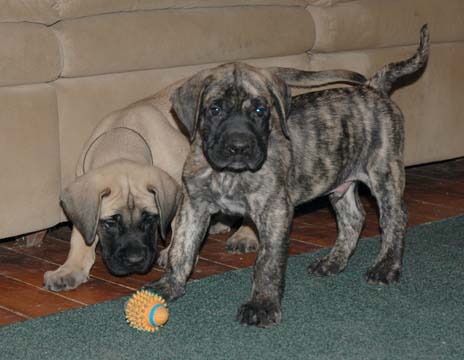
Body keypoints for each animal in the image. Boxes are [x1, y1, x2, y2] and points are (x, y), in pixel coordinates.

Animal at [147, 26, 430, 328]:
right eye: (215, 109)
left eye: (260, 110)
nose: (239, 147)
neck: (229, 175)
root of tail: (374, 88)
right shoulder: (194, 207)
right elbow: (181, 248)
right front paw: (169, 285)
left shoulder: (275, 212)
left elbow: (267, 262)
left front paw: (262, 305)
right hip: (340, 183)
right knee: (354, 219)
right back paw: (332, 263)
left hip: (384, 172)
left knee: (395, 218)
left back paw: (386, 267)